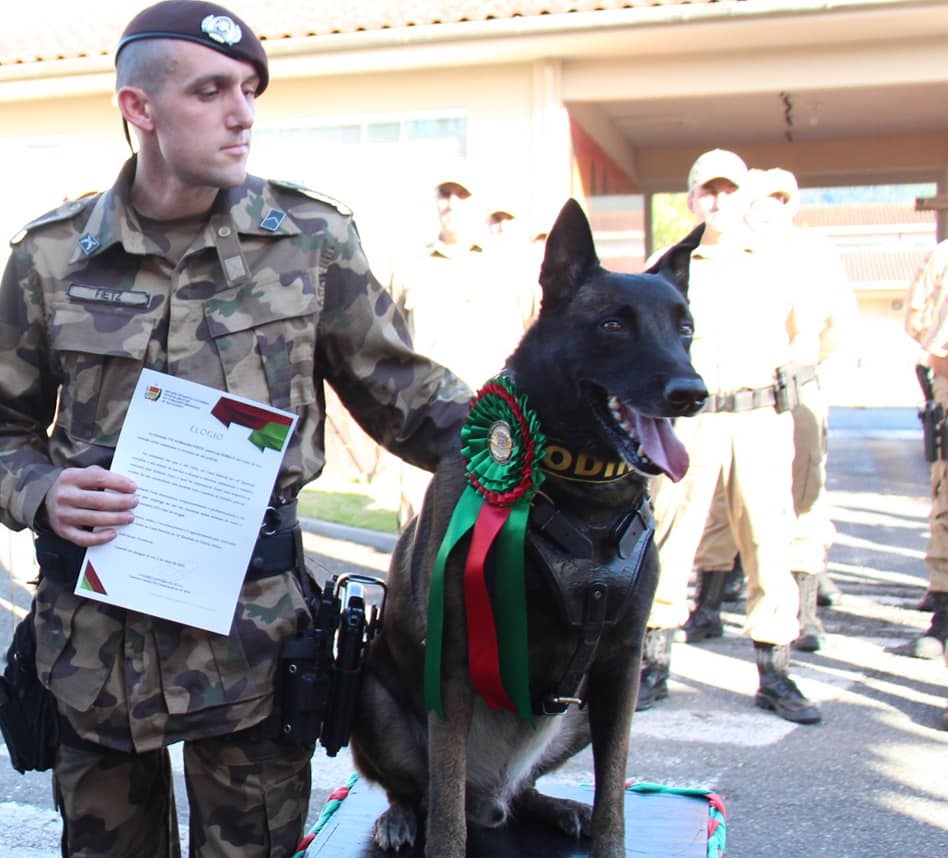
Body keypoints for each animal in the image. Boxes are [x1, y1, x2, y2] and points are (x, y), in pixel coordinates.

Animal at [352, 199, 708, 856]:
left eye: (686, 329)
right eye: (613, 326)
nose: (692, 393)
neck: (581, 494)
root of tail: (488, 797)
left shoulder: (620, 665)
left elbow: (615, 794)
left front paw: (605, 836)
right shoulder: (454, 660)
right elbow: (446, 817)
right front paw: (436, 836)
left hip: (576, 711)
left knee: (523, 793)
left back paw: (555, 806)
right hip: (370, 695)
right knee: (423, 791)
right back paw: (401, 817)